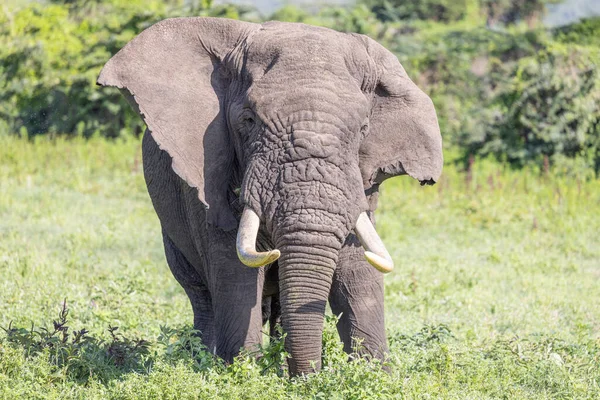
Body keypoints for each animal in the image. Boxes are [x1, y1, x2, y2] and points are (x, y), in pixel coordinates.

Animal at [98, 17, 442, 376]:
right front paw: (242, 373)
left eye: (363, 129)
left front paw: (373, 375)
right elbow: (234, 272)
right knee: (201, 295)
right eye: (248, 120)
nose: (307, 378)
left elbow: (358, 266)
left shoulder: (362, 177)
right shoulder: (209, 172)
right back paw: (200, 359)